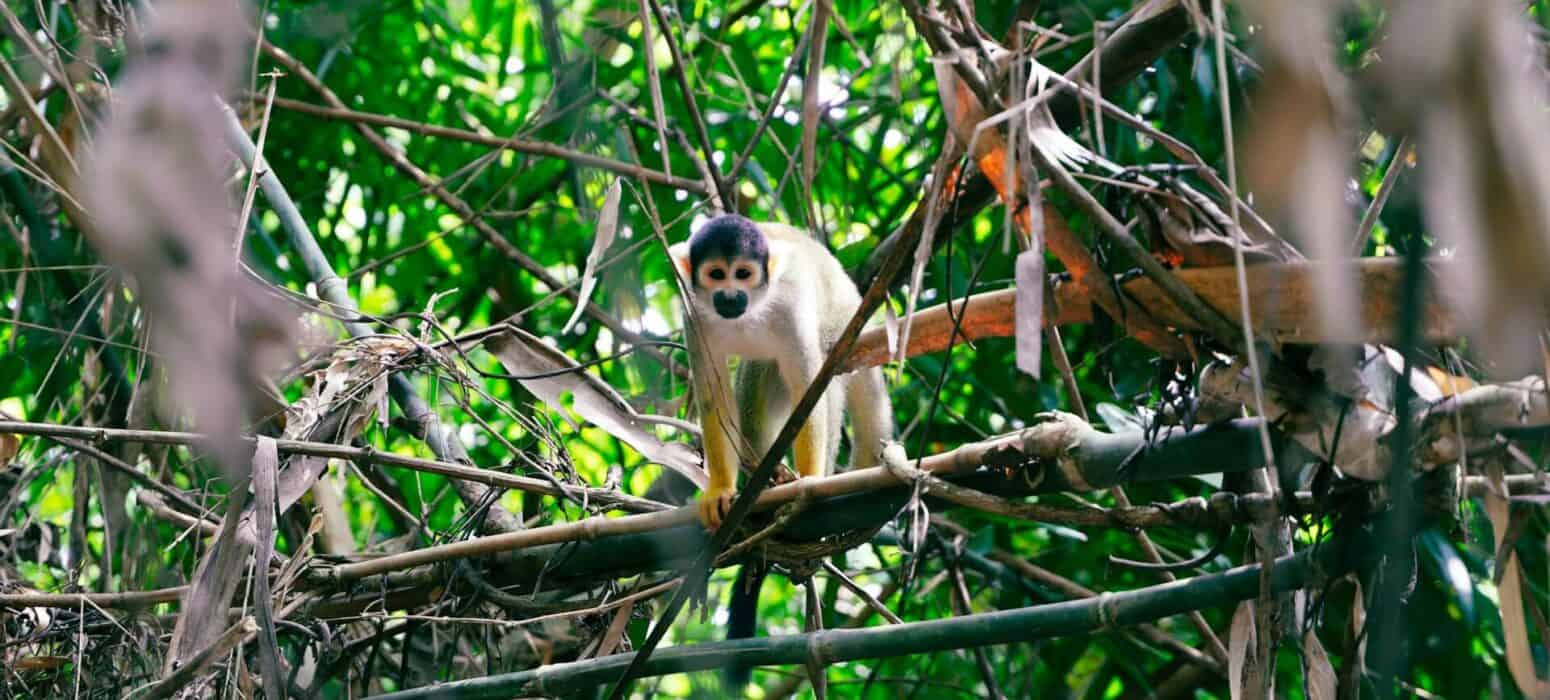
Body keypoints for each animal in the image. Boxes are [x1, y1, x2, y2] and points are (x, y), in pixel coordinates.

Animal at [668, 214, 894, 687]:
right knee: (758, 375)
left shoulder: (791, 310)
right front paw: (720, 490)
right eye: (715, 274)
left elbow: (810, 385)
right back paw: (764, 479)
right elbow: (714, 394)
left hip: (844, 325)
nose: (730, 296)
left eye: (743, 274)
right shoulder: (693, 314)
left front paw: (808, 482)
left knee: (825, 369)